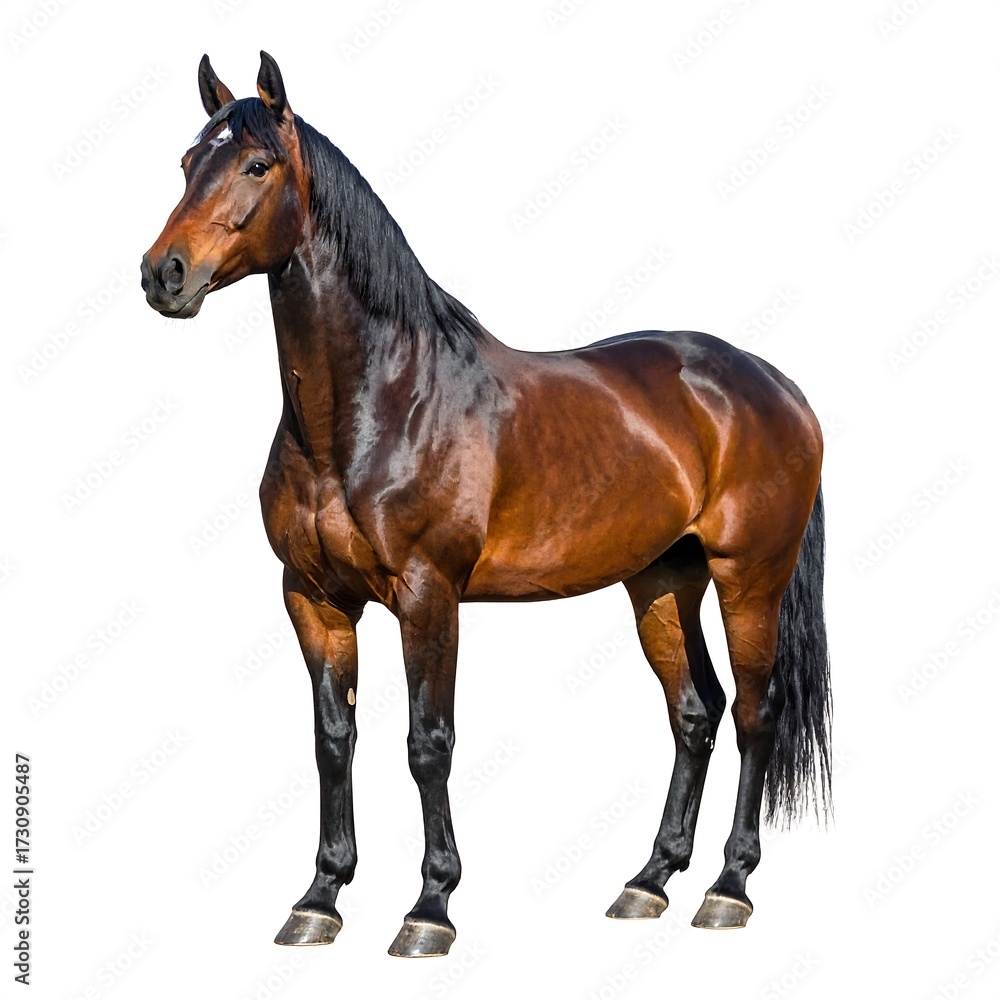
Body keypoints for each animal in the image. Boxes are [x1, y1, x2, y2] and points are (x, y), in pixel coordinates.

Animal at [141, 51, 831, 958]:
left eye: (257, 165)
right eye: (189, 162)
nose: (163, 274)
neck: (380, 404)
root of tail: (773, 385)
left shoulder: (429, 596)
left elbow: (427, 744)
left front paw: (430, 908)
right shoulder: (313, 600)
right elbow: (334, 742)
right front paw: (320, 897)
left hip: (748, 576)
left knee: (756, 713)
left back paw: (728, 887)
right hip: (660, 581)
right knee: (696, 712)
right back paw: (649, 882)